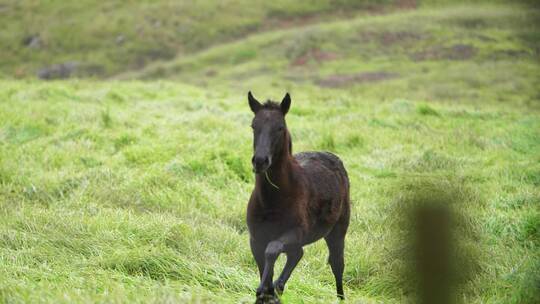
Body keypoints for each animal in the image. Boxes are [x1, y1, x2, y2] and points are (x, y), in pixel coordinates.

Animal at [245, 90, 350, 302]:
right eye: (253, 126)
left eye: (280, 127)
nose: (260, 161)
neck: (272, 200)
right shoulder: (256, 239)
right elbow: (264, 264)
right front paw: (266, 292)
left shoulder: (296, 232)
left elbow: (272, 250)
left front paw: (266, 290)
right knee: (297, 254)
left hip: (338, 230)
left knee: (337, 264)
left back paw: (340, 297)